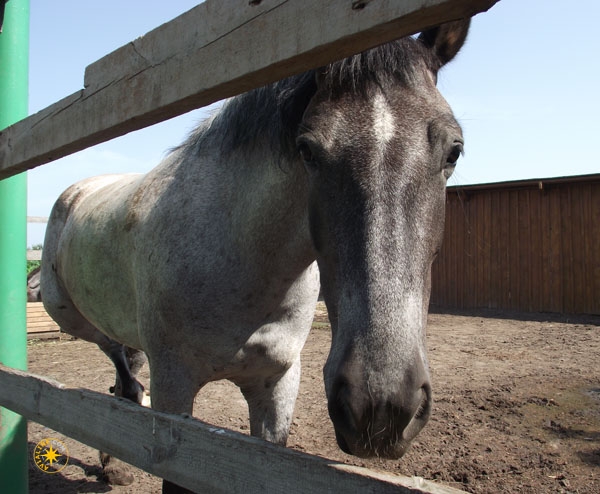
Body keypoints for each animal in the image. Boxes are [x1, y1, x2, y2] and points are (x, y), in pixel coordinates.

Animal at [42, 18, 472, 490]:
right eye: (307, 150)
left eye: (454, 150)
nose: (379, 407)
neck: (243, 270)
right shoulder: (174, 395)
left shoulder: (278, 387)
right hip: (71, 317)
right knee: (121, 370)